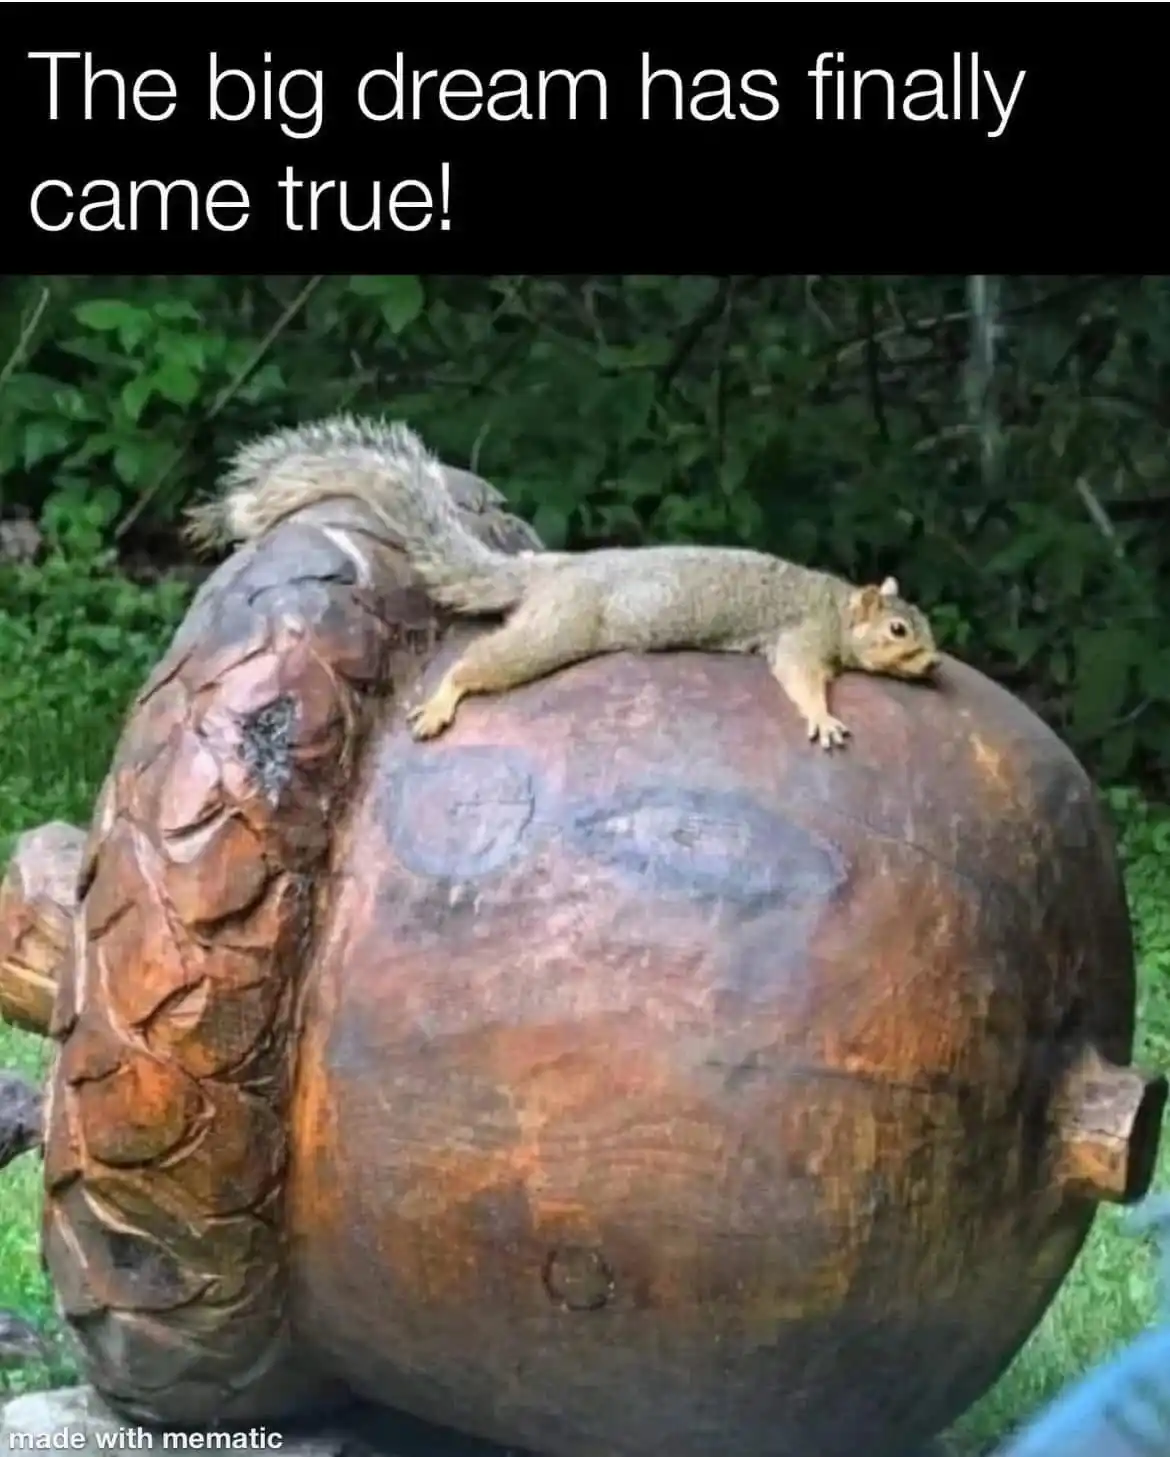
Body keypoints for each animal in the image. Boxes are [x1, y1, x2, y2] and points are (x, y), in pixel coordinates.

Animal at [189, 414, 941, 751]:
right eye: (899, 628)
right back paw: (443, 699)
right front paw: (821, 717)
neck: (836, 605)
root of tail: (552, 571)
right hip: (557, 631)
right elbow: (799, 678)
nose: (934, 664)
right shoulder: (801, 636)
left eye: (926, 625)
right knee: (480, 661)